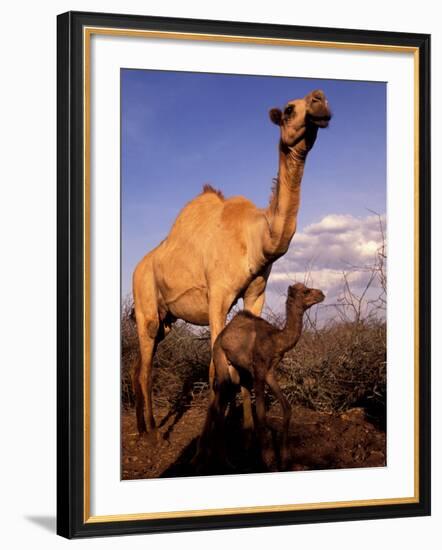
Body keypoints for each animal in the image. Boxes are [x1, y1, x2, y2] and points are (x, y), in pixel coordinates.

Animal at [133, 88, 330, 438]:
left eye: (318, 99)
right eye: (290, 109)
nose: (319, 100)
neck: (254, 238)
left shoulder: (256, 294)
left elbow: (244, 368)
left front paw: (248, 429)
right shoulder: (218, 297)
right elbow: (217, 370)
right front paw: (216, 433)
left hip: (167, 320)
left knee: (137, 364)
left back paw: (143, 428)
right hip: (146, 310)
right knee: (145, 369)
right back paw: (155, 434)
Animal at [202, 284, 322, 470]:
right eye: (306, 291)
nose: (321, 294)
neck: (276, 341)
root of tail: (219, 338)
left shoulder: (270, 372)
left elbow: (287, 408)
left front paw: (285, 459)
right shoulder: (258, 371)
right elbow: (261, 414)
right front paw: (267, 459)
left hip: (236, 371)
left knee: (223, 403)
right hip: (220, 360)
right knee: (217, 405)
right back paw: (223, 460)